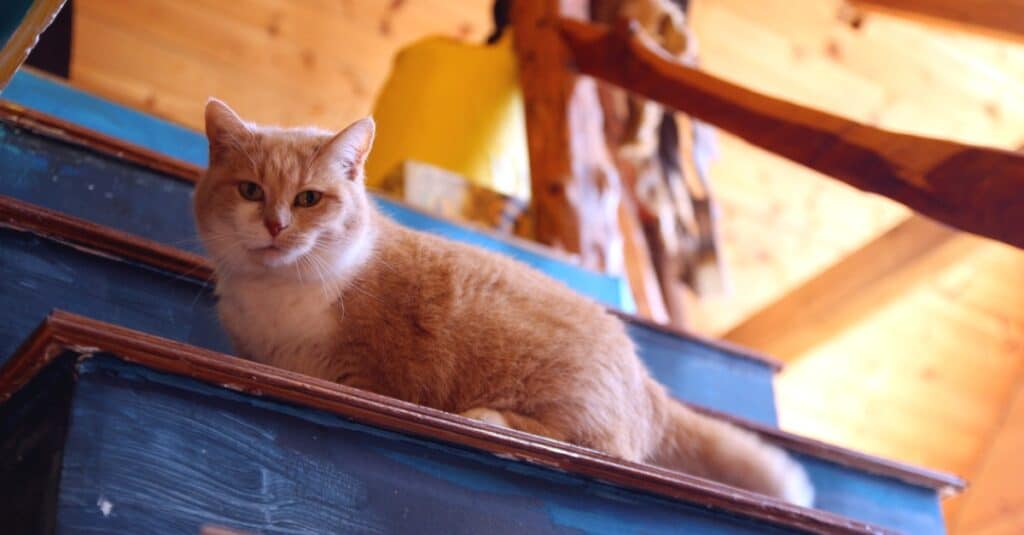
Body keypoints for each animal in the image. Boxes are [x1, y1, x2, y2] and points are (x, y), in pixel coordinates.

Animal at [195, 98, 811, 504]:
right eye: (250, 190)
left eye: (308, 199)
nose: (276, 225)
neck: (278, 295)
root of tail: (645, 378)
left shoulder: (368, 374)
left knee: (603, 450)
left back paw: (490, 416)